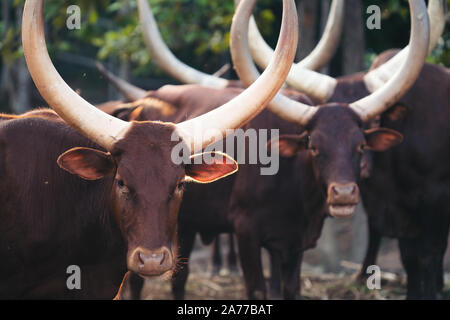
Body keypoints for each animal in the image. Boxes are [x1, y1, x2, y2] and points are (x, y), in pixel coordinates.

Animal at [97, 0, 428, 300]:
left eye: (359, 145)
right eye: (314, 147)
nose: (344, 193)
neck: (294, 181)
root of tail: (145, 104)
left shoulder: (295, 243)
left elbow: (290, 289)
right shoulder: (246, 232)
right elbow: (257, 289)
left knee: (180, 278)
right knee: (138, 281)